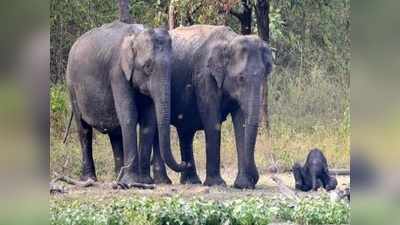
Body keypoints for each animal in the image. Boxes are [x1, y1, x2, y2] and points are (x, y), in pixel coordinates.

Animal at [65, 21, 188, 185]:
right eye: (147, 66)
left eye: (172, 68)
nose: (185, 163)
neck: (135, 36)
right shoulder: (117, 72)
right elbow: (129, 116)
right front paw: (132, 181)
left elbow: (148, 121)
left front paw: (145, 181)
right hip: (72, 87)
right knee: (84, 130)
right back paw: (90, 178)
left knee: (115, 132)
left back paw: (119, 176)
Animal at [145, 24, 274, 189]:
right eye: (241, 78)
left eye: (264, 75)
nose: (255, 178)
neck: (230, 41)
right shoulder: (204, 76)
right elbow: (212, 121)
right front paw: (217, 184)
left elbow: (241, 123)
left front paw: (242, 185)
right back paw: (164, 181)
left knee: (185, 131)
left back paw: (191, 181)